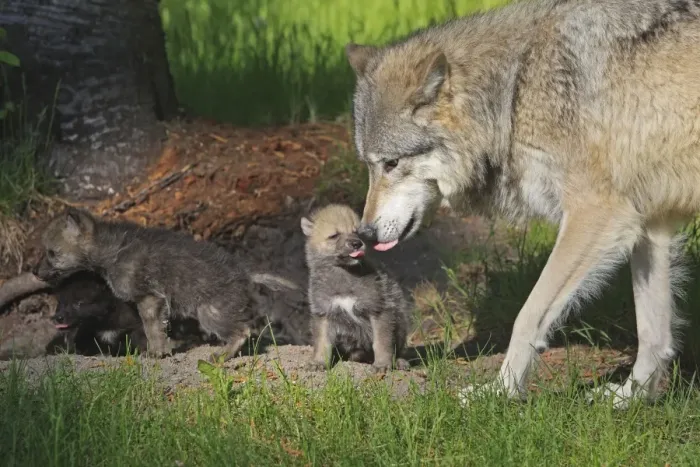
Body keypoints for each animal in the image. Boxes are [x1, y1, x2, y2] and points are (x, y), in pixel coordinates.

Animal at [34, 208, 298, 361]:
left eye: (52, 253)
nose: (34, 272)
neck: (111, 250)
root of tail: (244, 272)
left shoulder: (148, 298)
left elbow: (151, 329)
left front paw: (155, 353)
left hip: (210, 313)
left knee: (242, 332)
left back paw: (220, 357)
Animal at [301, 204, 411, 373]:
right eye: (334, 235)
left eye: (356, 232)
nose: (357, 244)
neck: (344, 274)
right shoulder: (323, 314)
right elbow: (322, 343)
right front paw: (318, 362)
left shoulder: (379, 310)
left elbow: (381, 343)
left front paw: (382, 365)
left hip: (400, 319)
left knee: (397, 349)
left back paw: (399, 362)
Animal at [344, 0, 700, 406]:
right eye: (368, 165)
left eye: (391, 164)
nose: (365, 233)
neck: (513, 93)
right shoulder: (650, 224)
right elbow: (653, 332)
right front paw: (631, 398)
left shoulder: (598, 215)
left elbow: (527, 316)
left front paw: (501, 391)